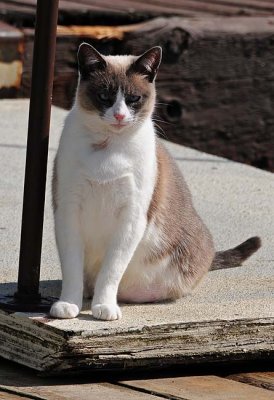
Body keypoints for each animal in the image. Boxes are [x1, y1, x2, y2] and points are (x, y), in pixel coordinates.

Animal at [49, 43, 262, 320]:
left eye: (133, 99)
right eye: (105, 97)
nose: (119, 116)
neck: (108, 146)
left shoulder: (132, 217)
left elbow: (111, 270)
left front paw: (104, 307)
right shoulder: (68, 211)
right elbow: (72, 268)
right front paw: (68, 305)